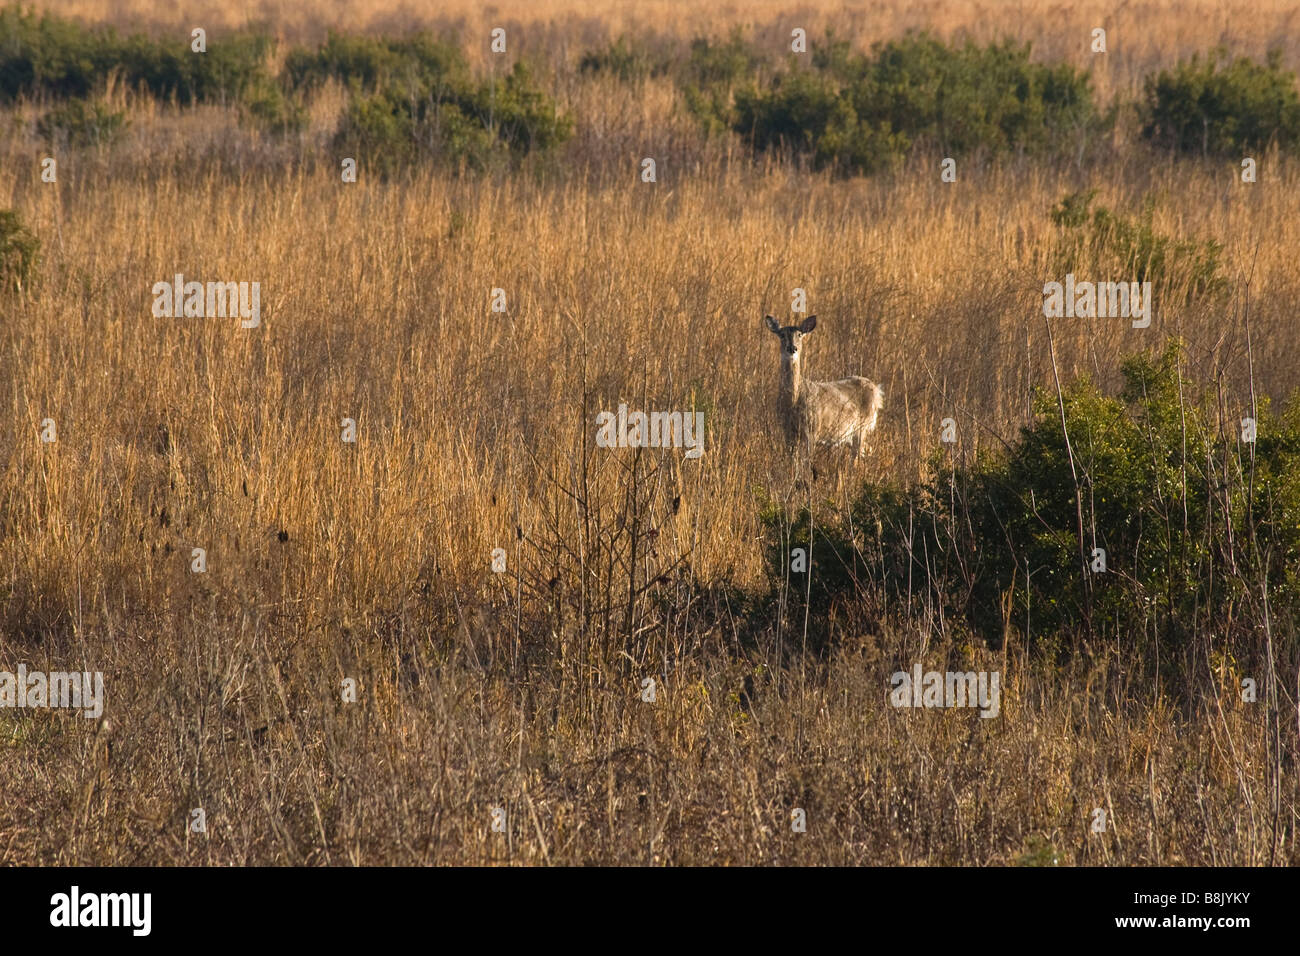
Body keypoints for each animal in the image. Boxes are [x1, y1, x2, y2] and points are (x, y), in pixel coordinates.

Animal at [764, 314, 884, 468]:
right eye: (782, 334)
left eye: (800, 334)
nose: (792, 348)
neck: (793, 402)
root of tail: (877, 391)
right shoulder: (787, 431)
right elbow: (792, 461)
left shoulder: (812, 429)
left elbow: (806, 463)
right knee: (866, 450)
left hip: (862, 426)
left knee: (857, 456)